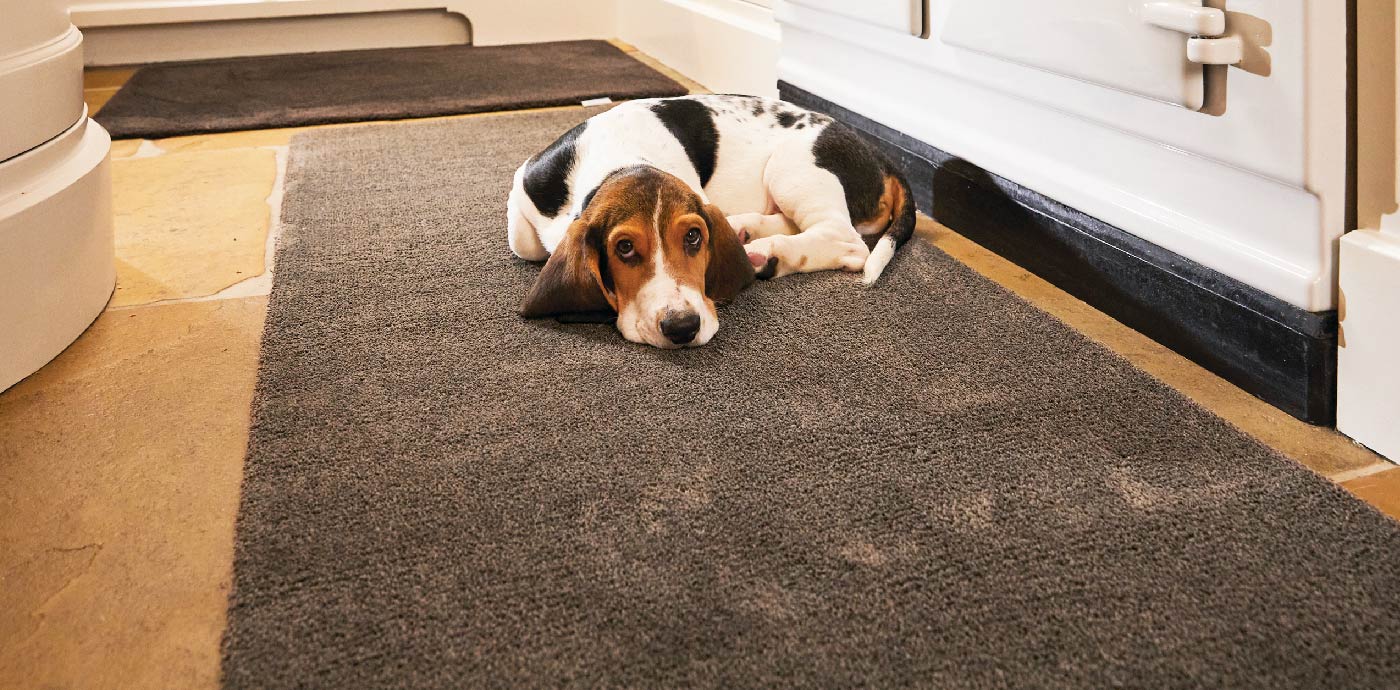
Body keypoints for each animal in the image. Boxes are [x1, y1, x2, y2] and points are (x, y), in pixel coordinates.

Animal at [509, 94, 912, 347]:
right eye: (623, 248)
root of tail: (878, 154)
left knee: (847, 241)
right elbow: (523, 242)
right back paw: (746, 234)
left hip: (792, 168)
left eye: (693, 237)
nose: (683, 326)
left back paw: (766, 251)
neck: (622, 160)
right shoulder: (524, 185)